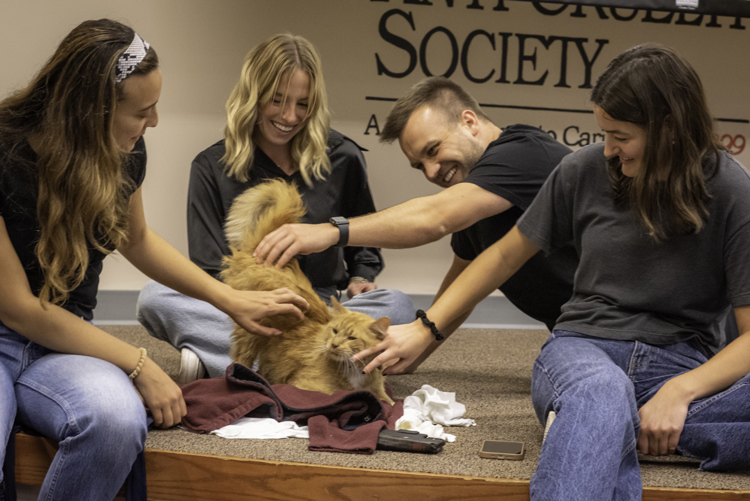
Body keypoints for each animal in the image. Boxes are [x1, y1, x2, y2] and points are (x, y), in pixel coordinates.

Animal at [222, 180, 394, 402]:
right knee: (240, 360)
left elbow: (391, 402)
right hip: (249, 332)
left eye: (352, 338)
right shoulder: (306, 386)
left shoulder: (379, 391)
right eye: (335, 331)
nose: (333, 345)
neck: (355, 371)